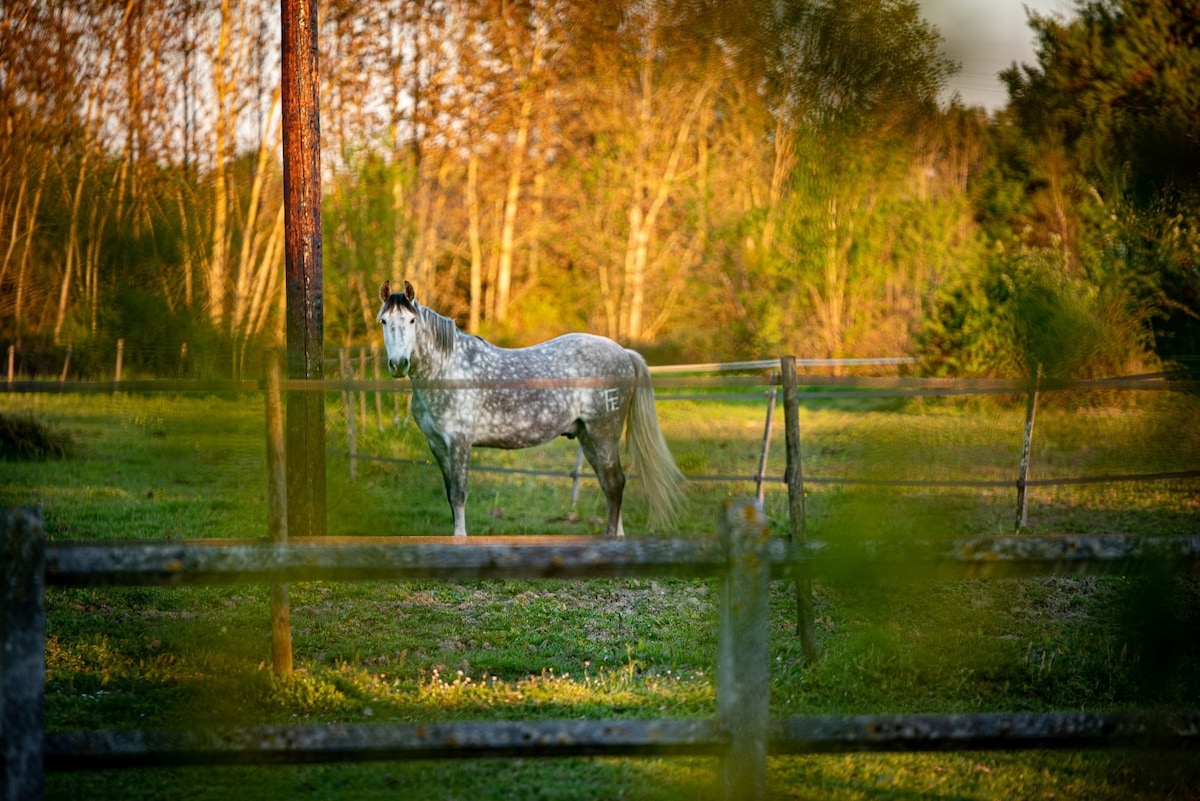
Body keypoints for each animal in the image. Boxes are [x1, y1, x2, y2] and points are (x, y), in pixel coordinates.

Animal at [376, 281, 686, 537]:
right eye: (383, 321)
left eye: (412, 320)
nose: (398, 364)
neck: (447, 369)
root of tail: (624, 352)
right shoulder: (437, 445)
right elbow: (450, 496)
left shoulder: (460, 442)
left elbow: (459, 495)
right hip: (588, 437)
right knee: (610, 486)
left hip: (604, 434)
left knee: (615, 483)